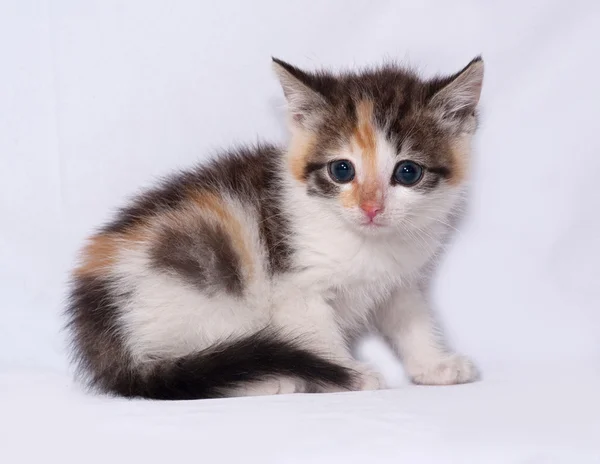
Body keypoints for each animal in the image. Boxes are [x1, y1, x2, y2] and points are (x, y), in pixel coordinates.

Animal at [65, 55, 486, 398]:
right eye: (342, 170)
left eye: (408, 172)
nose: (371, 208)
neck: (366, 241)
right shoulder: (294, 287)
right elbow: (317, 334)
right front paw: (347, 374)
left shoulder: (400, 280)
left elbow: (410, 319)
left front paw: (434, 365)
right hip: (196, 296)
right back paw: (269, 380)